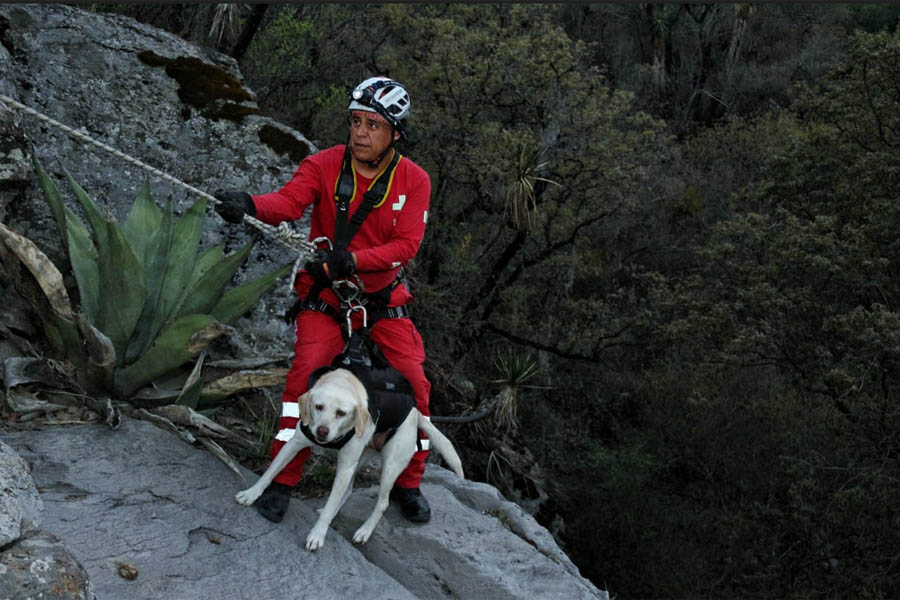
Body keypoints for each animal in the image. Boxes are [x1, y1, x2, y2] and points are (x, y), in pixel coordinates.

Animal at [236, 366, 464, 548]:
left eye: (341, 413)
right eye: (318, 407)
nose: (322, 432)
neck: (344, 382)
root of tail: (416, 412)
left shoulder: (345, 466)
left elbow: (331, 506)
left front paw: (317, 535)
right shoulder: (293, 444)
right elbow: (270, 471)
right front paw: (251, 493)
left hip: (389, 466)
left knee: (382, 502)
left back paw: (364, 531)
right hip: (358, 460)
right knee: (348, 490)